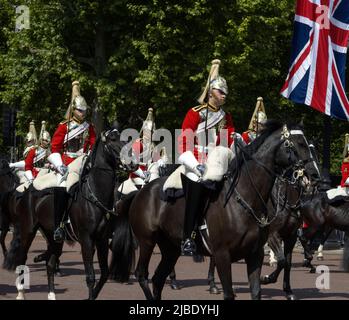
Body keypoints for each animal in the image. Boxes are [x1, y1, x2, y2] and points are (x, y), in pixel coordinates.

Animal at [4, 125, 138, 300]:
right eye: (113, 139)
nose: (134, 163)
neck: (95, 195)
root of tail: (29, 189)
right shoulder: (87, 239)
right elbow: (90, 276)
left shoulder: (101, 239)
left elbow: (104, 274)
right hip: (28, 230)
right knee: (22, 258)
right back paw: (21, 293)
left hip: (52, 236)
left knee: (50, 263)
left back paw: (51, 294)